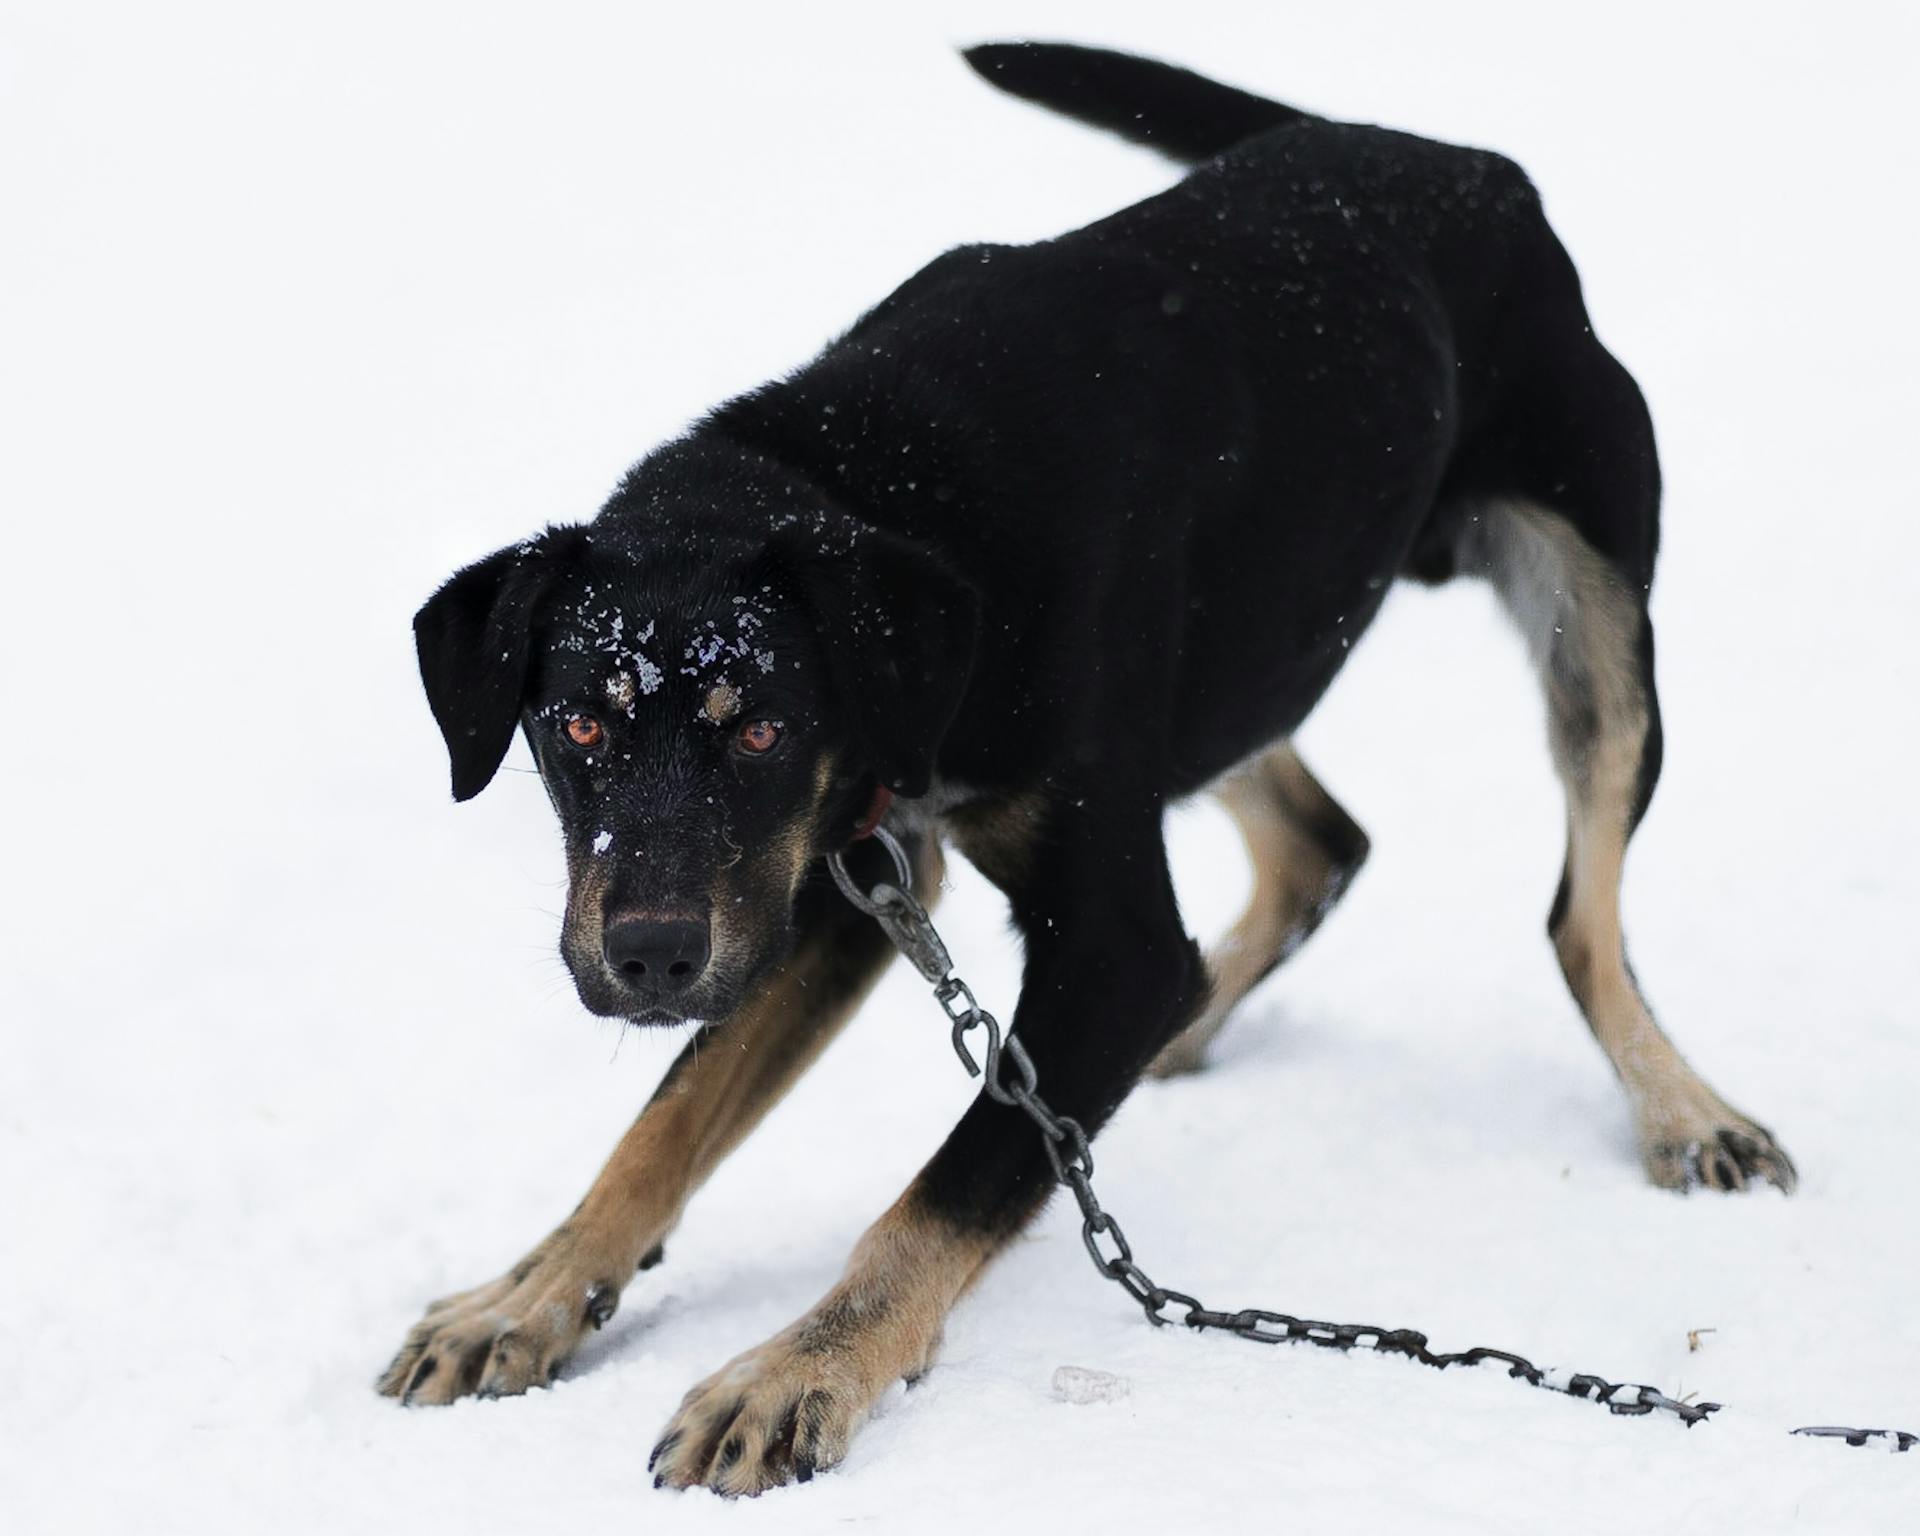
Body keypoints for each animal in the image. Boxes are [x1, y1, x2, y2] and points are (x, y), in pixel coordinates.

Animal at [382, 45, 1789, 1489]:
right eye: (576, 729)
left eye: (764, 727)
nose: (651, 958)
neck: (894, 497)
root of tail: (1458, 163)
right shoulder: (841, 874)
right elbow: (665, 1123)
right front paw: (532, 1294)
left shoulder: (1088, 939)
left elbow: (949, 1182)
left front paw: (798, 1372)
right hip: (1241, 658)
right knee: (1318, 841)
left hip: (1596, 622)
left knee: (1579, 913)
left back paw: (1684, 1112)